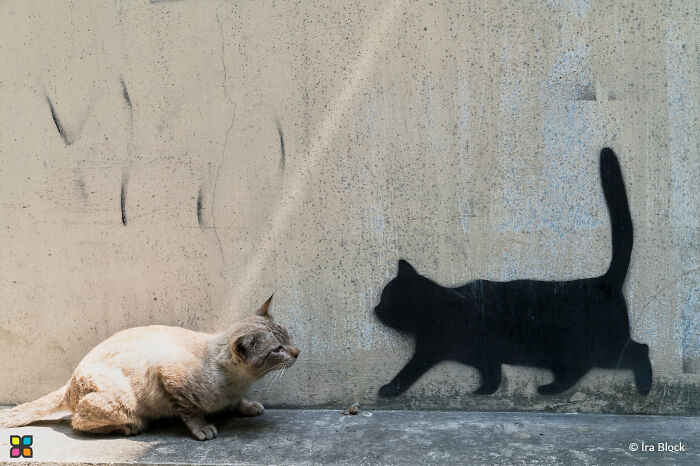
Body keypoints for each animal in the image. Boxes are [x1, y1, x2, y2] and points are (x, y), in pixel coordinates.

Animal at [0, 294, 298, 440]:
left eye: (288, 338)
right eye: (277, 350)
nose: (297, 352)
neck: (240, 383)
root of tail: (69, 382)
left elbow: (238, 403)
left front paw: (249, 407)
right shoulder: (169, 376)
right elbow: (191, 413)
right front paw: (203, 429)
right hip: (123, 403)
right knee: (77, 421)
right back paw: (127, 428)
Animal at [374, 148, 652, 396]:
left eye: (385, 300)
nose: (375, 308)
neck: (437, 307)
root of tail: (604, 281)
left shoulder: (434, 351)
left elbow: (408, 372)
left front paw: (389, 389)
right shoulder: (481, 355)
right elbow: (492, 374)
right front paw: (483, 392)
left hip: (600, 348)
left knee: (641, 350)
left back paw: (644, 388)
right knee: (578, 371)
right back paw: (550, 389)